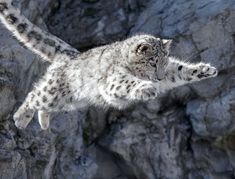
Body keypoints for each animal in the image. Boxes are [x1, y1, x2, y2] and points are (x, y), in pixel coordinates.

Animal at [0, 0, 218, 131]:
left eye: (164, 63)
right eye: (152, 62)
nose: (159, 78)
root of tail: (71, 55)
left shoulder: (171, 71)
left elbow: (179, 70)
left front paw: (205, 70)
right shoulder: (113, 78)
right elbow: (128, 82)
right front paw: (146, 88)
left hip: (67, 101)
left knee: (44, 104)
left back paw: (44, 123)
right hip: (53, 92)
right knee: (35, 95)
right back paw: (20, 118)